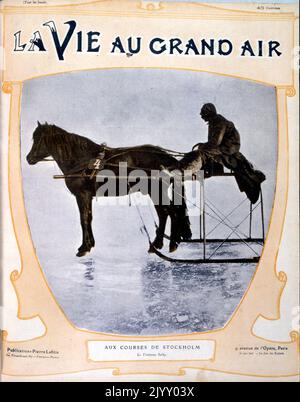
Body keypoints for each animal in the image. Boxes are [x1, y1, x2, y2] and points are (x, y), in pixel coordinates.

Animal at [27, 121, 192, 258]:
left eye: (38, 139)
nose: (29, 158)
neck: (82, 159)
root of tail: (168, 158)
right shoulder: (88, 196)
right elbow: (89, 217)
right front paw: (90, 244)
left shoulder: (82, 195)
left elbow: (83, 219)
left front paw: (83, 248)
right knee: (166, 214)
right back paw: (159, 245)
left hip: (156, 191)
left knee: (170, 213)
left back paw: (169, 244)